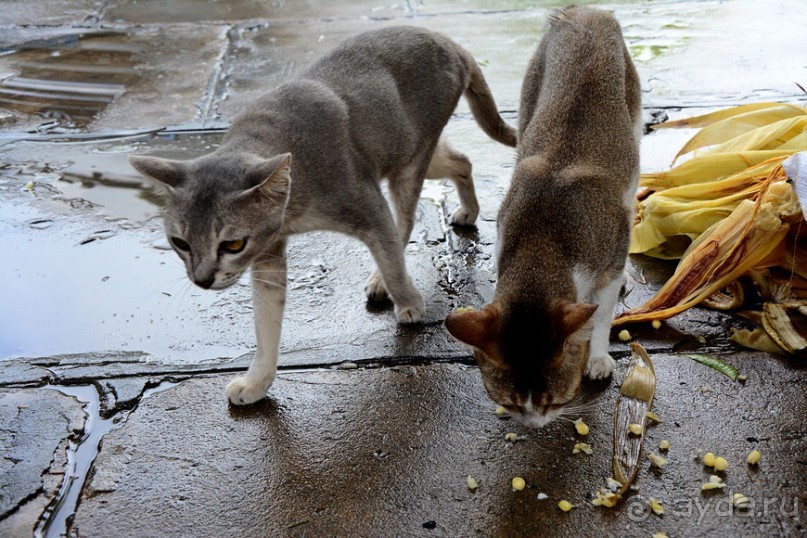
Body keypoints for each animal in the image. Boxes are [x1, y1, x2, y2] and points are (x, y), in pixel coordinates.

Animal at [129, 25, 516, 402]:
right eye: (180, 242)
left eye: (233, 245)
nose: (202, 280)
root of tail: (448, 41)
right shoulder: (268, 255)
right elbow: (266, 323)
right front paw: (257, 382)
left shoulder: (368, 206)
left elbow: (392, 256)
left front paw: (408, 301)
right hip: (408, 153)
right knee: (462, 160)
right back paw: (468, 210)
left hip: (409, 159)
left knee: (405, 220)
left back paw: (391, 278)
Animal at [446, 6, 640, 426]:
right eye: (511, 401)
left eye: (553, 400)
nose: (534, 425)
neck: (544, 239)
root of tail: (584, 12)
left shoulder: (609, 248)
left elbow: (602, 312)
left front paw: (598, 356)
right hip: (529, 96)